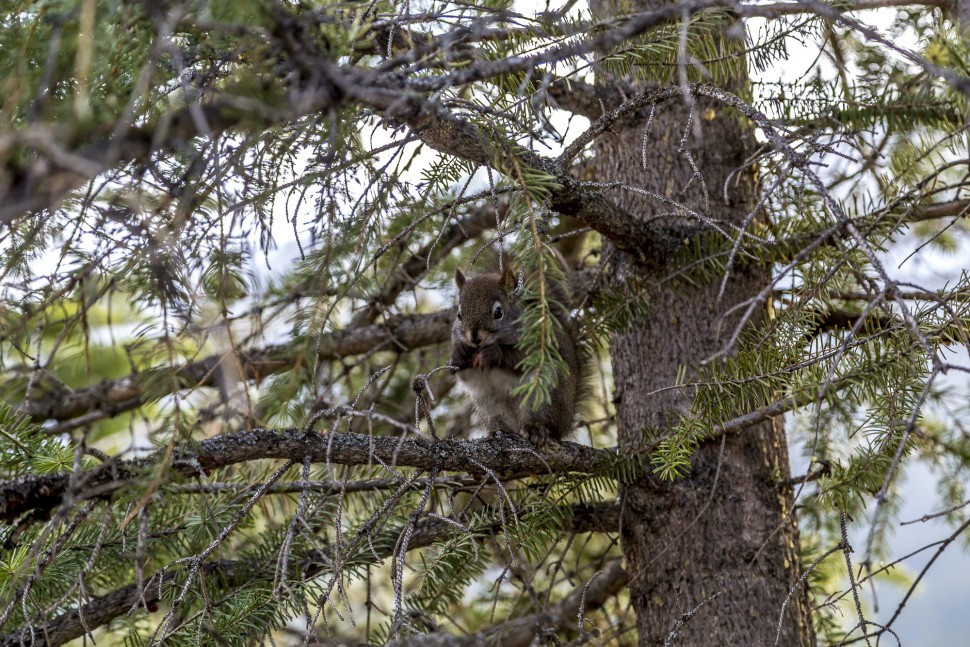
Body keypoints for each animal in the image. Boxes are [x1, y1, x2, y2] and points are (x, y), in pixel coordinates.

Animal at [446, 266, 584, 448]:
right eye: (459, 314)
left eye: (498, 312)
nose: (474, 338)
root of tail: (566, 422)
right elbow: (464, 374)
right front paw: (458, 355)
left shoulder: (537, 346)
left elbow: (521, 359)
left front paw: (493, 352)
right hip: (488, 403)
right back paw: (500, 430)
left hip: (544, 396)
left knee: (547, 425)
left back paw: (536, 429)